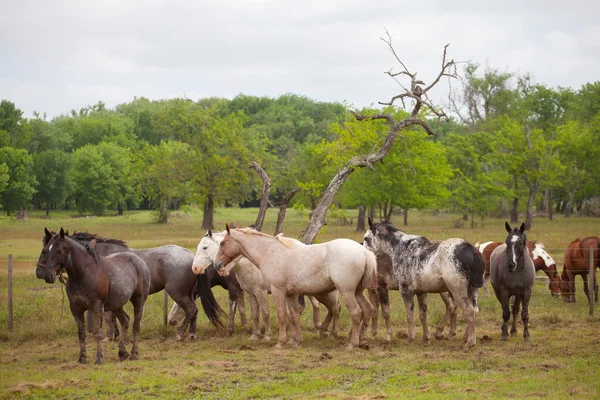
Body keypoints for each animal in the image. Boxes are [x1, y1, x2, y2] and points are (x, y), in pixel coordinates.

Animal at [35, 227, 150, 364]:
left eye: (59, 250)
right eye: (45, 250)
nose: (47, 275)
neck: (84, 274)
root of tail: (139, 260)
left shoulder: (97, 307)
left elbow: (97, 332)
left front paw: (99, 358)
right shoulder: (76, 308)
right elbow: (81, 333)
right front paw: (82, 357)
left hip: (139, 300)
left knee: (136, 326)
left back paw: (134, 354)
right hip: (116, 305)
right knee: (125, 321)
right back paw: (122, 353)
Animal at [68, 231, 223, 340]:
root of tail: (193, 259)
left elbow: (108, 317)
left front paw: (110, 336)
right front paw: (114, 335)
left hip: (177, 293)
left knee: (191, 310)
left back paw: (180, 334)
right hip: (189, 293)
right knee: (194, 311)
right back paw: (191, 334)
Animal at [213, 227, 378, 348]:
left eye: (222, 243)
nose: (217, 265)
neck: (271, 253)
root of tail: (363, 251)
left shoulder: (277, 291)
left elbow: (281, 315)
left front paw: (281, 342)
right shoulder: (290, 294)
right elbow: (293, 315)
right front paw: (296, 341)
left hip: (346, 292)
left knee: (355, 313)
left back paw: (351, 344)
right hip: (357, 291)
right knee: (367, 309)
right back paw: (360, 340)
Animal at [360, 220, 482, 348]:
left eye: (366, 238)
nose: (365, 254)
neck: (400, 248)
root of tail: (472, 250)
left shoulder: (404, 291)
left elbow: (407, 315)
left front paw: (407, 338)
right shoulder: (421, 292)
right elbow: (423, 315)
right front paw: (426, 338)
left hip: (456, 291)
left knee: (468, 311)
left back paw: (469, 342)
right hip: (471, 291)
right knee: (473, 310)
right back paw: (463, 337)